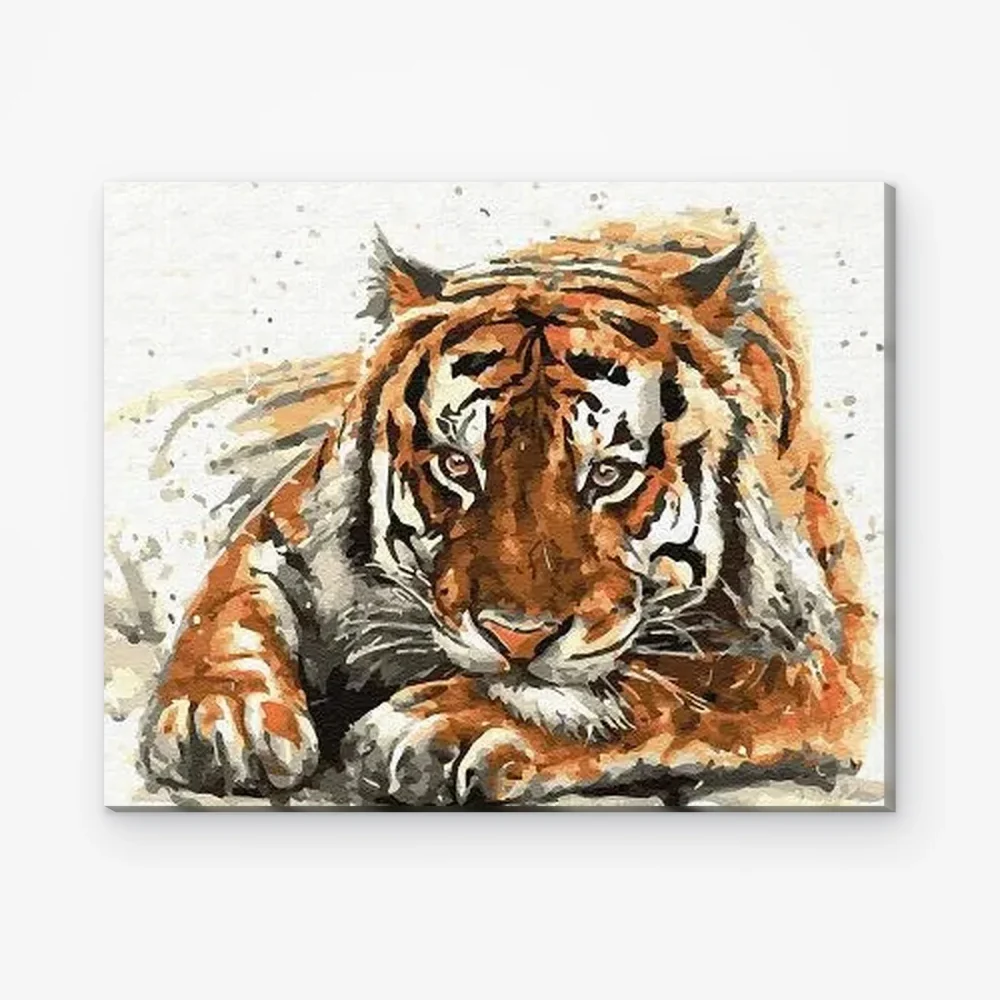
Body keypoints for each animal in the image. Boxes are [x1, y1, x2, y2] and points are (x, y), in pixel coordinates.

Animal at [140, 208, 876, 806]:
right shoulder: (284, 529)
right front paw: (221, 713)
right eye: (457, 465)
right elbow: (228, 604)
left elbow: (676, 682)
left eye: (609, 474)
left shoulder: (822, 650)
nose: (516, 638)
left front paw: (446, 724)